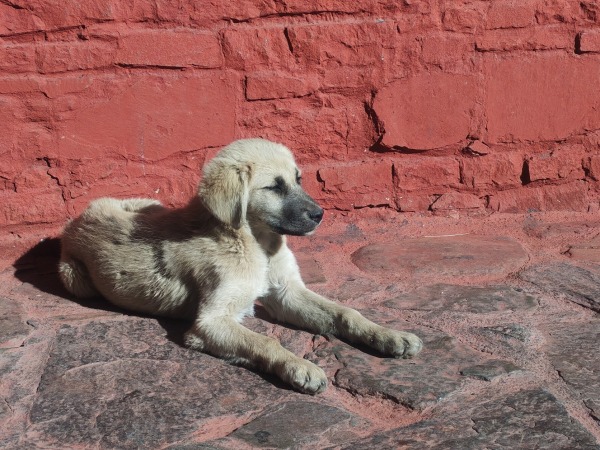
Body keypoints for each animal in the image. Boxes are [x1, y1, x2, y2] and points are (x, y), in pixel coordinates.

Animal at [59, 138, 423, 394]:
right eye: (274, 186)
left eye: (298, 179)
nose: (320, 215)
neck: (257, 245)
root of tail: (79, 217)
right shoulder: (210, 321)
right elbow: (265, 342)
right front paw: (299, 367)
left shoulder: (287, 293)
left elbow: (346, 312)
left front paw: (389, 335)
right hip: (75, 278)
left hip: (150, 204)